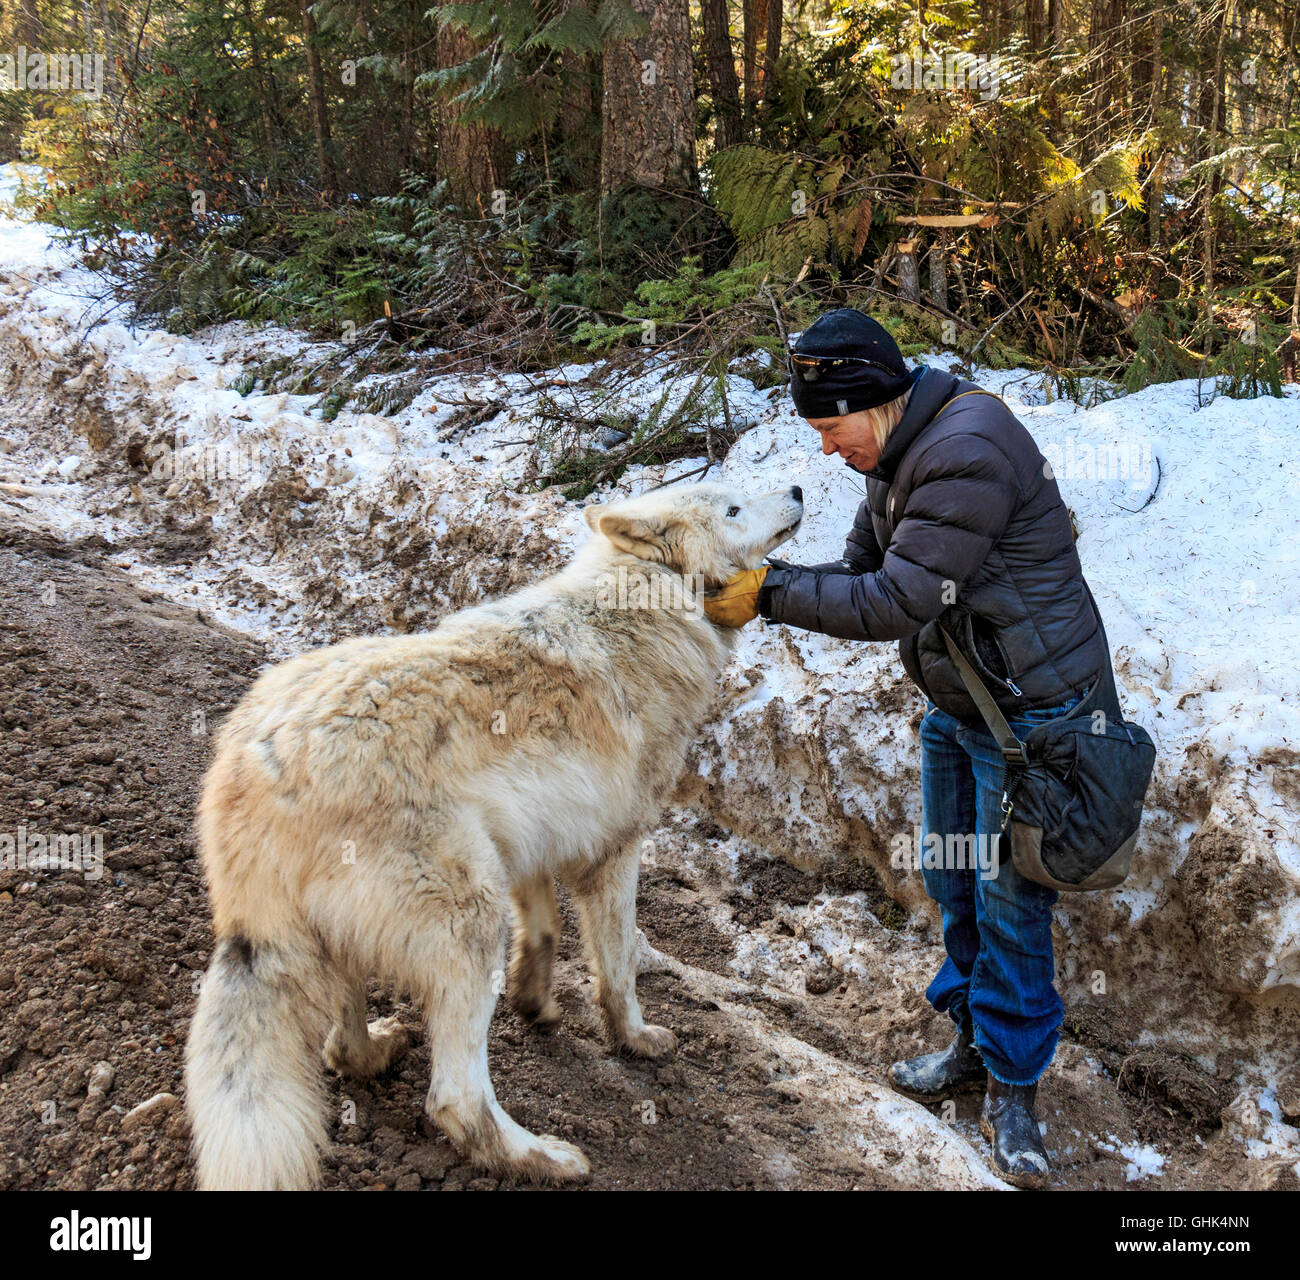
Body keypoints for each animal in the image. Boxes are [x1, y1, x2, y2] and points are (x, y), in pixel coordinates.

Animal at [184, 480, 803, 1189]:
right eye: (732, 507)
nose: (797, 487)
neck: (646, 601)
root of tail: (250, 769)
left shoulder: (531, 843)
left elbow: (545, 930)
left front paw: (535, 1001)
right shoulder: (612, 853)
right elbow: (619, 968)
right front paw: (636, 1040)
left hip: (356, 932)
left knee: (339, 1049)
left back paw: (380, 1051)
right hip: (467, 921)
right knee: (453, 1098)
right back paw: (544, 1158)